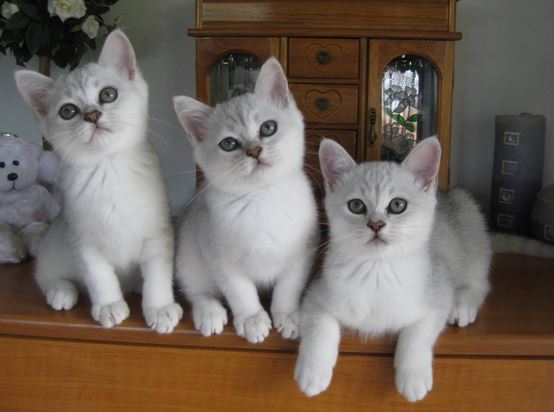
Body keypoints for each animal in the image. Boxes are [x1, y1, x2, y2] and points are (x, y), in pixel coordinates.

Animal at [14, 29, 182, 334]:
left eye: (108, 94)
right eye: (68, 111)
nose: (92, 115)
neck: (109, 169)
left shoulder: (157, 234)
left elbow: (157, 275)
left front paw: (160, 306)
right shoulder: (84, 241)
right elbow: (99, 276)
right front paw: (108, 305)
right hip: (56, 247)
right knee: (45, 274)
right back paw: (61, 290)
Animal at [172, 56, 320, 342]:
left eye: (268, 128)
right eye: (228, 144)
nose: (254, 150)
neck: (262, 198)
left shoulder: (301, 253)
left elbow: (289, 286)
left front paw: (287, 315)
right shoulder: (221, 259)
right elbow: (240, 291)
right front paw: (252, 318)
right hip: (189, 253)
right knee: (196, 290)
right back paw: (209, 312)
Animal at [294, 138, 488, 402]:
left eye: (397, 205)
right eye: (356, 205)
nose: (376, 224)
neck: (377, 270)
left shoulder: (439, 294)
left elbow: (417, 333)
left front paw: (413, 376)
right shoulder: (317, 294)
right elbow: (319, 327)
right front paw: (312, 371)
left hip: (471, 226)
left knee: (480, 282)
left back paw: (463, 306)